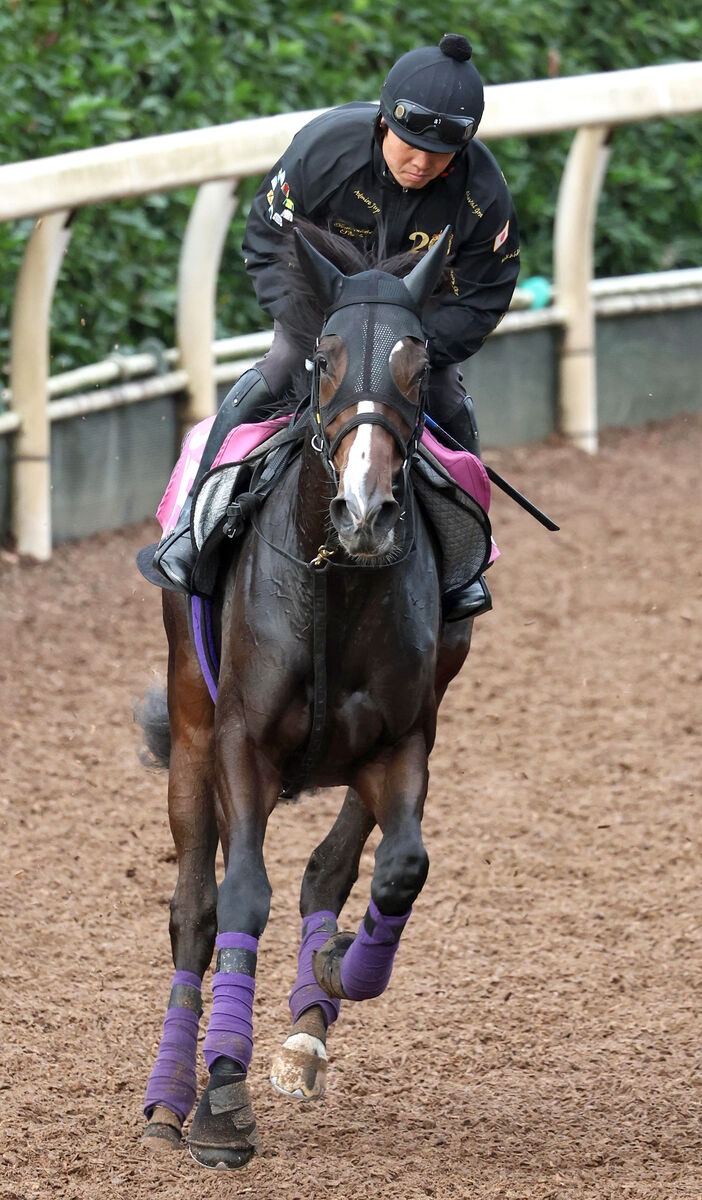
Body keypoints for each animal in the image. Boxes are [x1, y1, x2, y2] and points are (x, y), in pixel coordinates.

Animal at [136, 223, 487, 1161]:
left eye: (418, 360)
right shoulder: (239, 743)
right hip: (189, 736)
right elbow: (239, 897)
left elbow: (397, 868)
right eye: (323, 359)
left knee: (332, 870)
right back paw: (167, 1098)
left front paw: (336, 972)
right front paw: (220, 1096)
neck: (335, 581)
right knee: (195, 907)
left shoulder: (403, 739)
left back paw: (308, 1026)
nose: (365, 511)